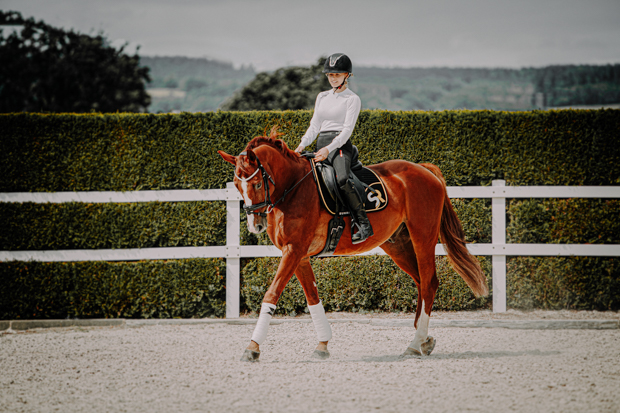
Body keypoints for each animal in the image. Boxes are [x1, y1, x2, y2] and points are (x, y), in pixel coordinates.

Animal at [219, 127, 490, 358]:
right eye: (236, 186)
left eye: (256, 183)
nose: (255, 225)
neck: (292, 189)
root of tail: (423, 169)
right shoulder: (300, 255)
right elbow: (313, 298)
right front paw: (323, 345)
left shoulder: (293, 251)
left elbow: (272, 293)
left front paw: (252, 348)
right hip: (398, 244)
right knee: (421, 282)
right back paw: (424, 340)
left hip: (423, 236)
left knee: (430, 282)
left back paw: (414, 345)